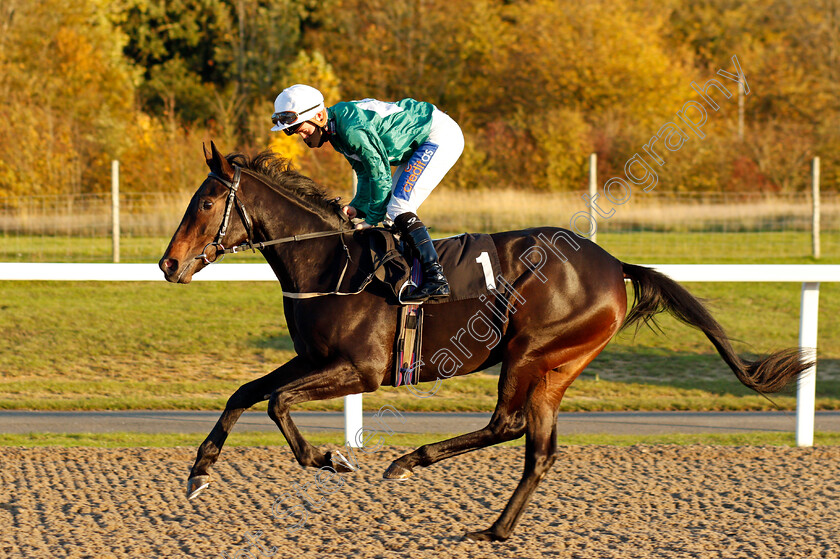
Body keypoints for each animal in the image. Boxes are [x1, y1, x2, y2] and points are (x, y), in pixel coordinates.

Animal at [161, 143, 812, 544]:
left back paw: (409, 462)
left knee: (508, 424)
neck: (329, 263)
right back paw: (496, 529)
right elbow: (245, 393)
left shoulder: (360, 369)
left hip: (531, 350)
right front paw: (199, 472)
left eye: (207, 201)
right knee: (538, 447)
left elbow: (277, 403)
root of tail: (613, 265)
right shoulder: (314, 358)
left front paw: (331, 458)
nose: (168, 264)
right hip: (558, 365)